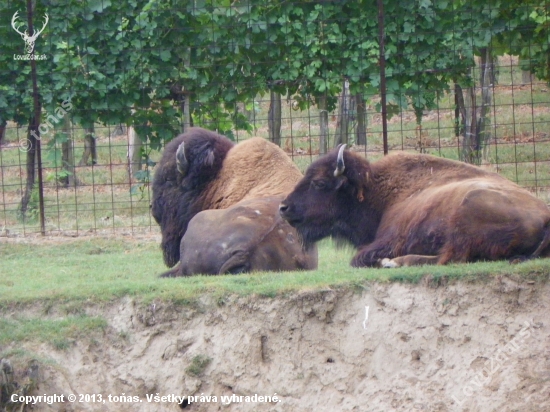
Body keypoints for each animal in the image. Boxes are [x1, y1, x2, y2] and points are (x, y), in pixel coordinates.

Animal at [280, 145, 550, 268]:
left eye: (319, 183)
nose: (284, 207)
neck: (376, 191)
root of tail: (546, 217)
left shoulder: (386, 241)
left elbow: (358, 258)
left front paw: (385, 260)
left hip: (469, 208)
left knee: (450, 258)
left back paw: (393, 262)